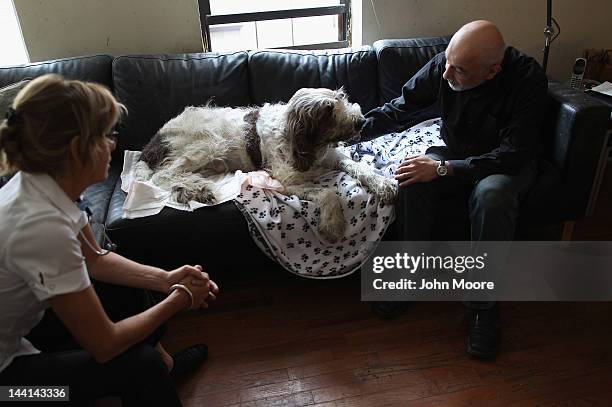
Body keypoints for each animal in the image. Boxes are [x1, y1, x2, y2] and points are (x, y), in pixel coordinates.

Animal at [135, 88, 396, 244]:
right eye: (329, 111)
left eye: (341, 98)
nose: (361, 121)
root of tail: (151, 143)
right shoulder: (287, 181)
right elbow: (328, 192)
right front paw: (332, 224)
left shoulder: (332, 157)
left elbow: (360, 167)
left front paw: (384, 184)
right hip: (210, 142)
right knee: (164, 175)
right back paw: (197, 189)